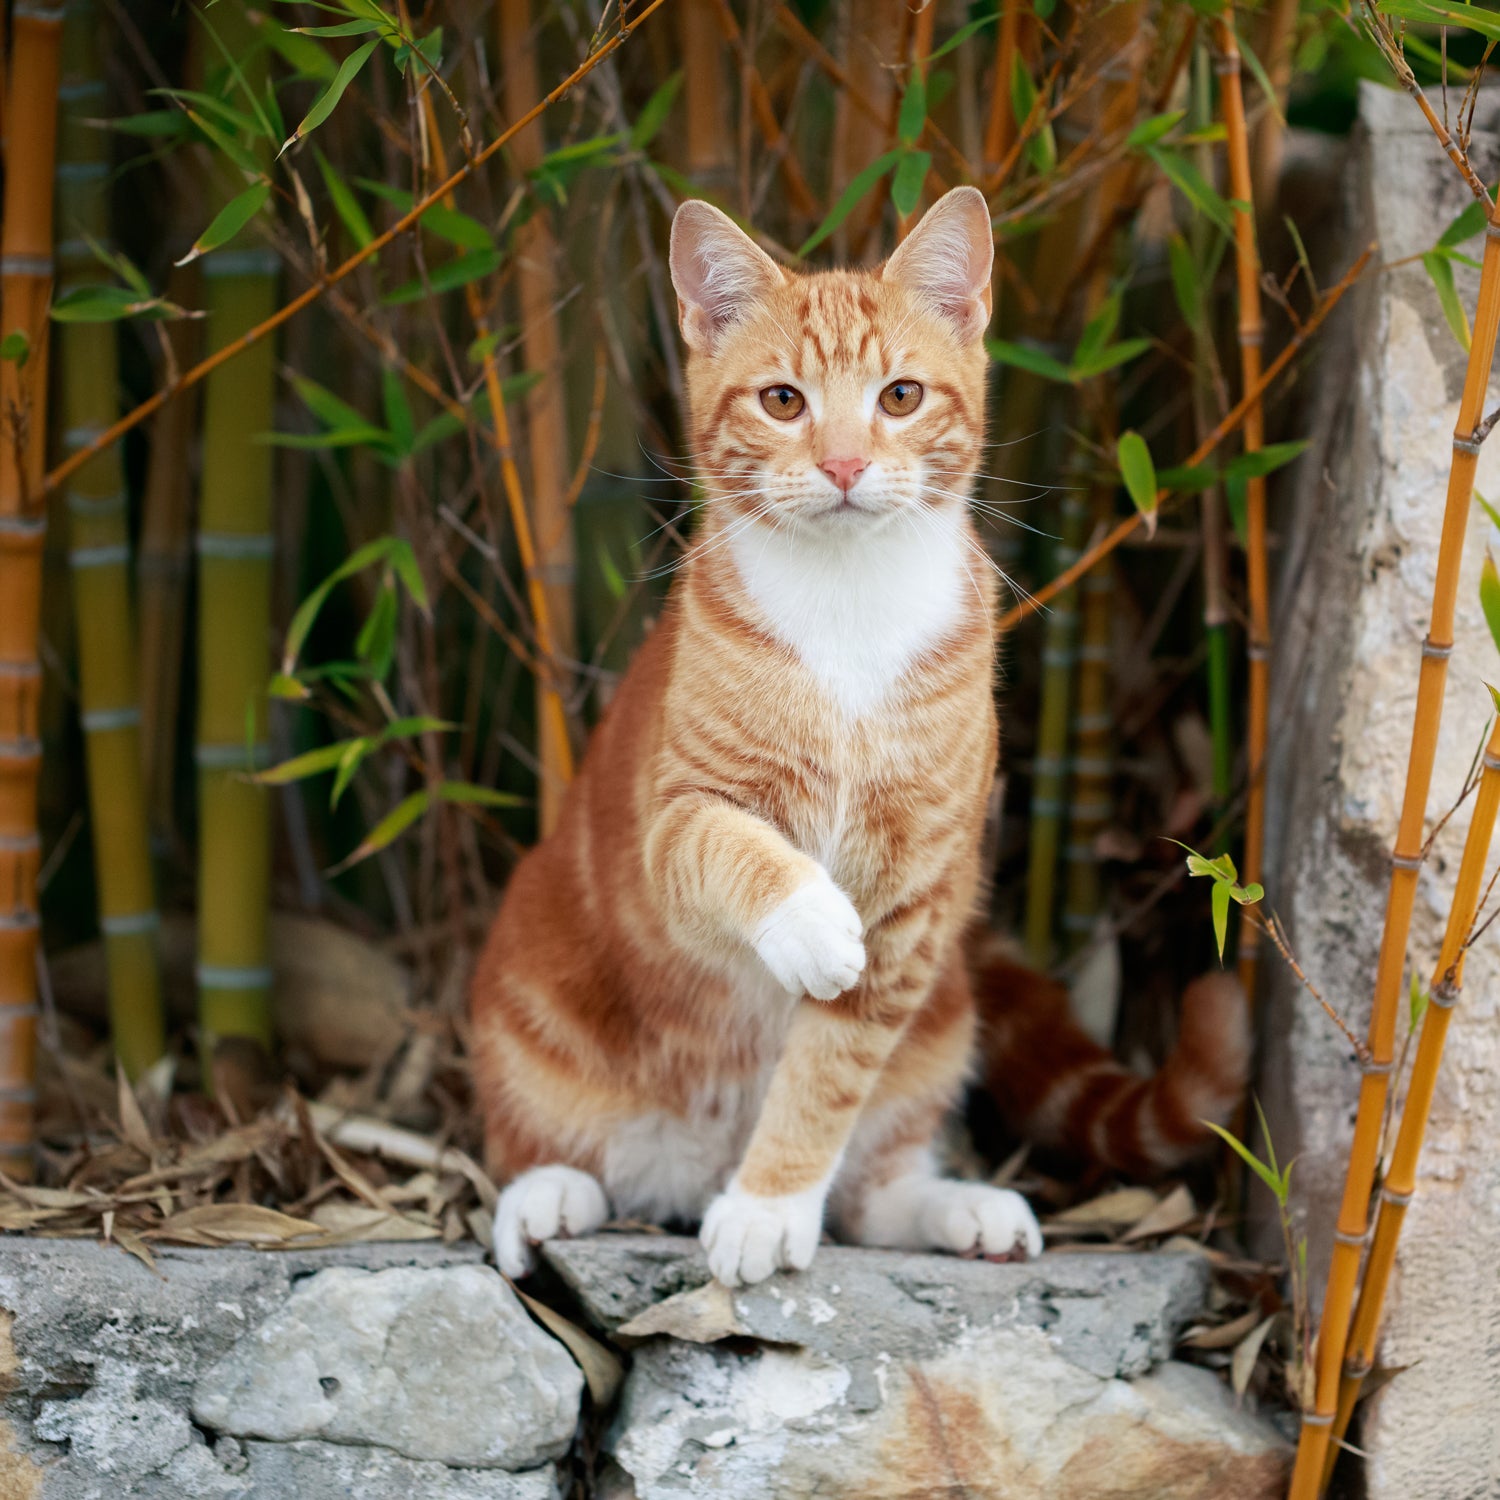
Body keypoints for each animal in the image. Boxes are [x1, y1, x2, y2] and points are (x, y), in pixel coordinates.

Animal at [468, 190, 1242, 1290]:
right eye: (783, 401)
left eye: (901, 395)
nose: (842, 463)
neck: (847, 607)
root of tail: (692, 1160)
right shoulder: (678, 818)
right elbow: (735, 850)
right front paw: (806, 920)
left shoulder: (917, 899)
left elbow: (828, 1077)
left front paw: (767, 1205)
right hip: (529, 1005)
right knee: (543, 1147)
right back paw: (547, 1202)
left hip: (942, 1021)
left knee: (875, 1191)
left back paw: (961, 1210)